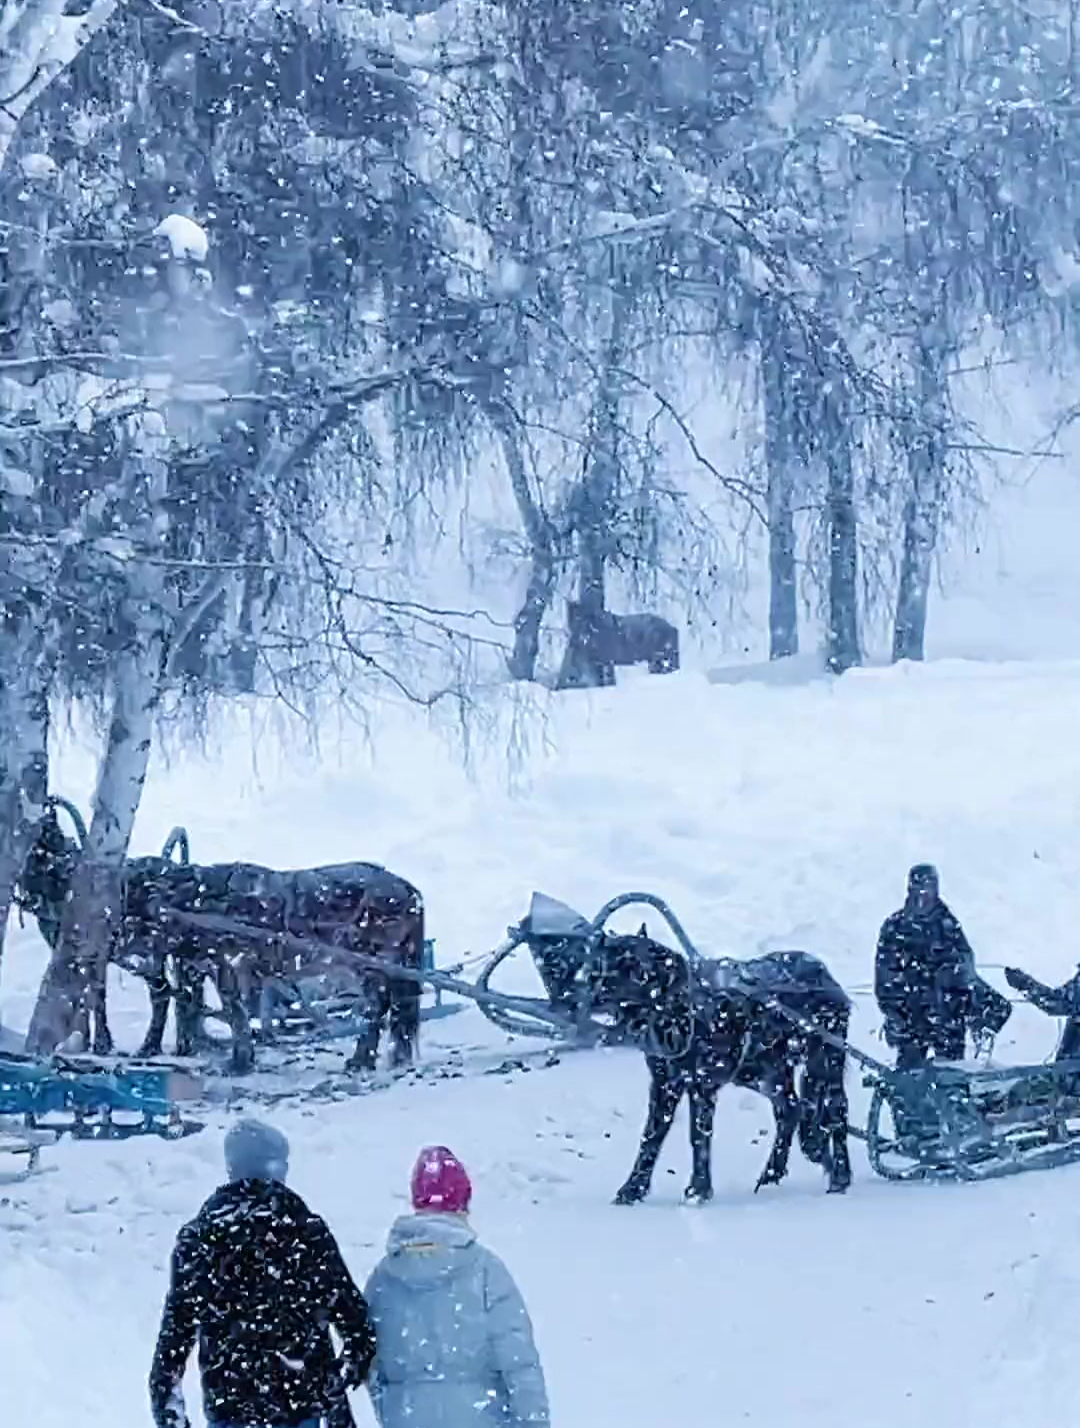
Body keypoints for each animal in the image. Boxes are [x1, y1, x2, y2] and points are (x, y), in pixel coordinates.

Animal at [16, 793, 422, 1073]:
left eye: (41, 856)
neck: (189, 899)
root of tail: (408, 890)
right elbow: (219, 1006)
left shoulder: (226, 963)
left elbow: (231, 1008)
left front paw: (239, 1060)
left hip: (372, 960)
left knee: (378, 1006)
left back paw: (361, 1059)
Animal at [582, 931, 851, 1199]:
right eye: (597, 969)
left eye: (628, 967)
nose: (589, 998)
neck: (680, 1009)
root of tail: (825, 975)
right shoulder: (664, 1084)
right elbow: (652, 1136)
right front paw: (633, 1188)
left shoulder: (702, 1084)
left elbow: (699, 1135)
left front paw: (698, 1189)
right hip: (763, 1073)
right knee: (792, 1109)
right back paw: (775, 1171)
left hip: (823, 1063)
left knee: (835, 1112)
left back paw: (839, 1174)